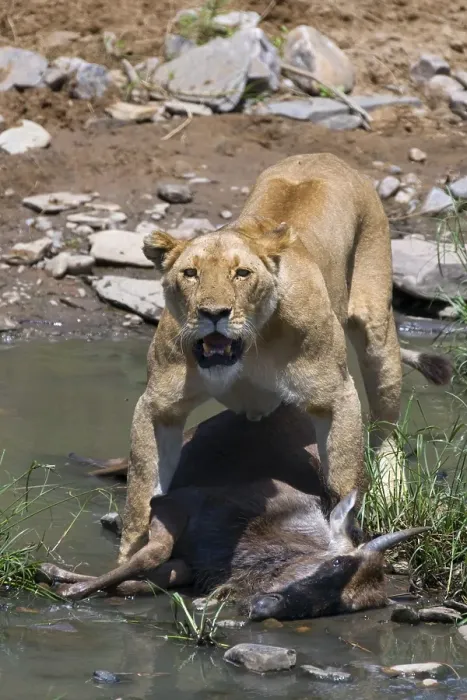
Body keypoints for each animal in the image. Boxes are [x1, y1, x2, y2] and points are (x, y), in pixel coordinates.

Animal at [118, 153, 451, 563]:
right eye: (190, 273)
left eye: (242, 273)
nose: (214, 313)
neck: (247, 350)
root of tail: (325, 156)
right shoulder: (158, 406)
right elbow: (140, 493)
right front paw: (129, 558)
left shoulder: (336, 397)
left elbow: (342, 479)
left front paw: (343, 545)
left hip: (375, 324)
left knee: (386, 427)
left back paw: (391, 490)